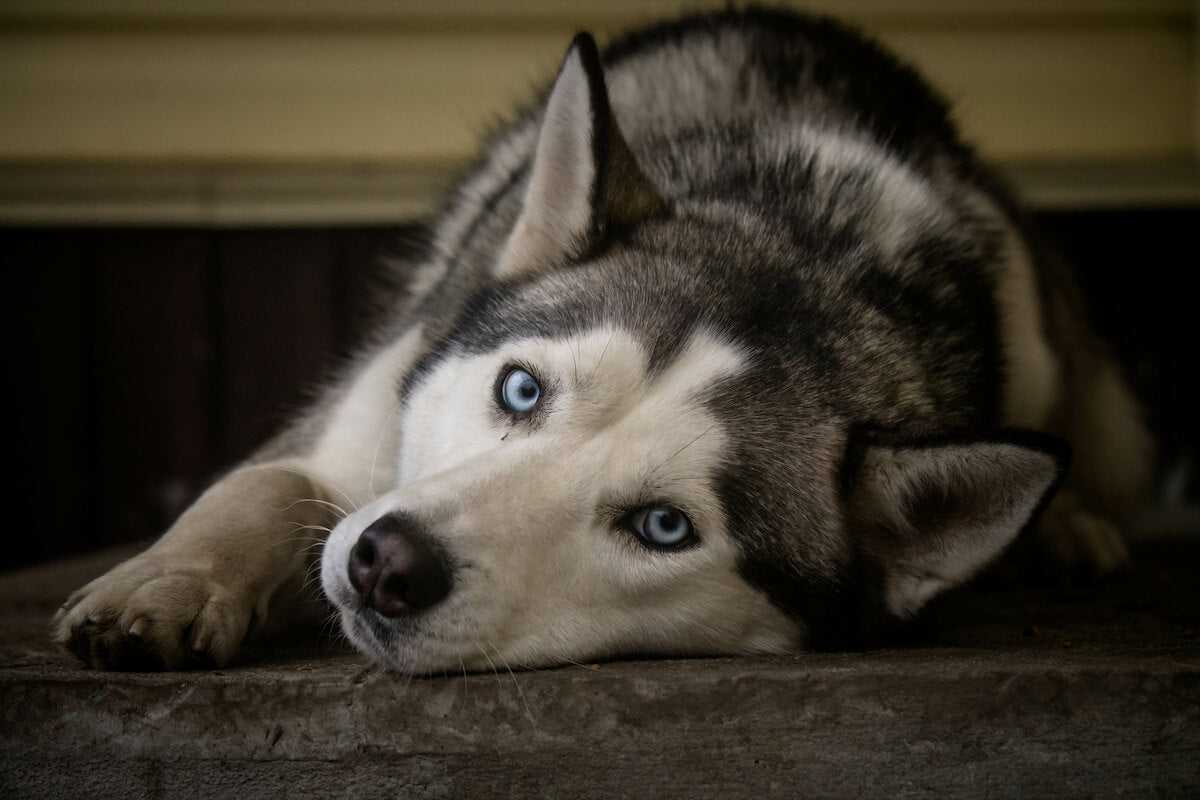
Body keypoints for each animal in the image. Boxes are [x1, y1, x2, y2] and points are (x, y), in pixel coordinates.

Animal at [56, 9, 1152, 671]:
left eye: (663, 526)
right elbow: (267, 487)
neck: (807, 239)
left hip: (1031, 316)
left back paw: (1066, 523)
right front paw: (170, 581)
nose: (387, 562)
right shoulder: (370, 415)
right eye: (521, 390)